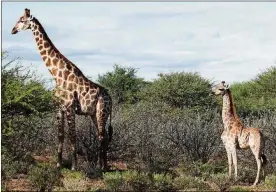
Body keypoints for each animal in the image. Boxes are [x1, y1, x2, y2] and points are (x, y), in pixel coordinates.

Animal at [11, 7, 113, 171]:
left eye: (21, 20)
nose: (12, 30)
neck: (57, 75)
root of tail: (111, 99)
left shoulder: (70, 107)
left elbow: (72, 136)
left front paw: (74, 166)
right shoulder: (58, 108)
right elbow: (61, 135)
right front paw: (58, 164)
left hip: (101, 112)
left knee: (102, 136)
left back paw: (101, 166)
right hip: (94, 114)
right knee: (102, 137)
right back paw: (103, 166)